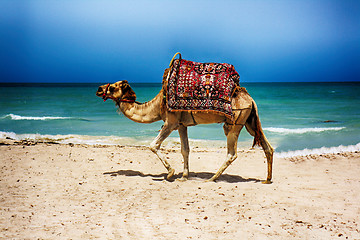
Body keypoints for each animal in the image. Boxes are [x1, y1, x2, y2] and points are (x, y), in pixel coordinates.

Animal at [95, 68, 272, 184]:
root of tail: (250, 99)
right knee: (267, 147)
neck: (158, 104)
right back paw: (267, 179)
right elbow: (185, 149)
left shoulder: (171, 122)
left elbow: (153, 145)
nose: (98, 89)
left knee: (232, 153)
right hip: (250, 121)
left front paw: (170, 173)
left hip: (234, 122)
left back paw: (212, 178)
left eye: (113, 87)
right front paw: (184, 176)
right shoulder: (181, 125)